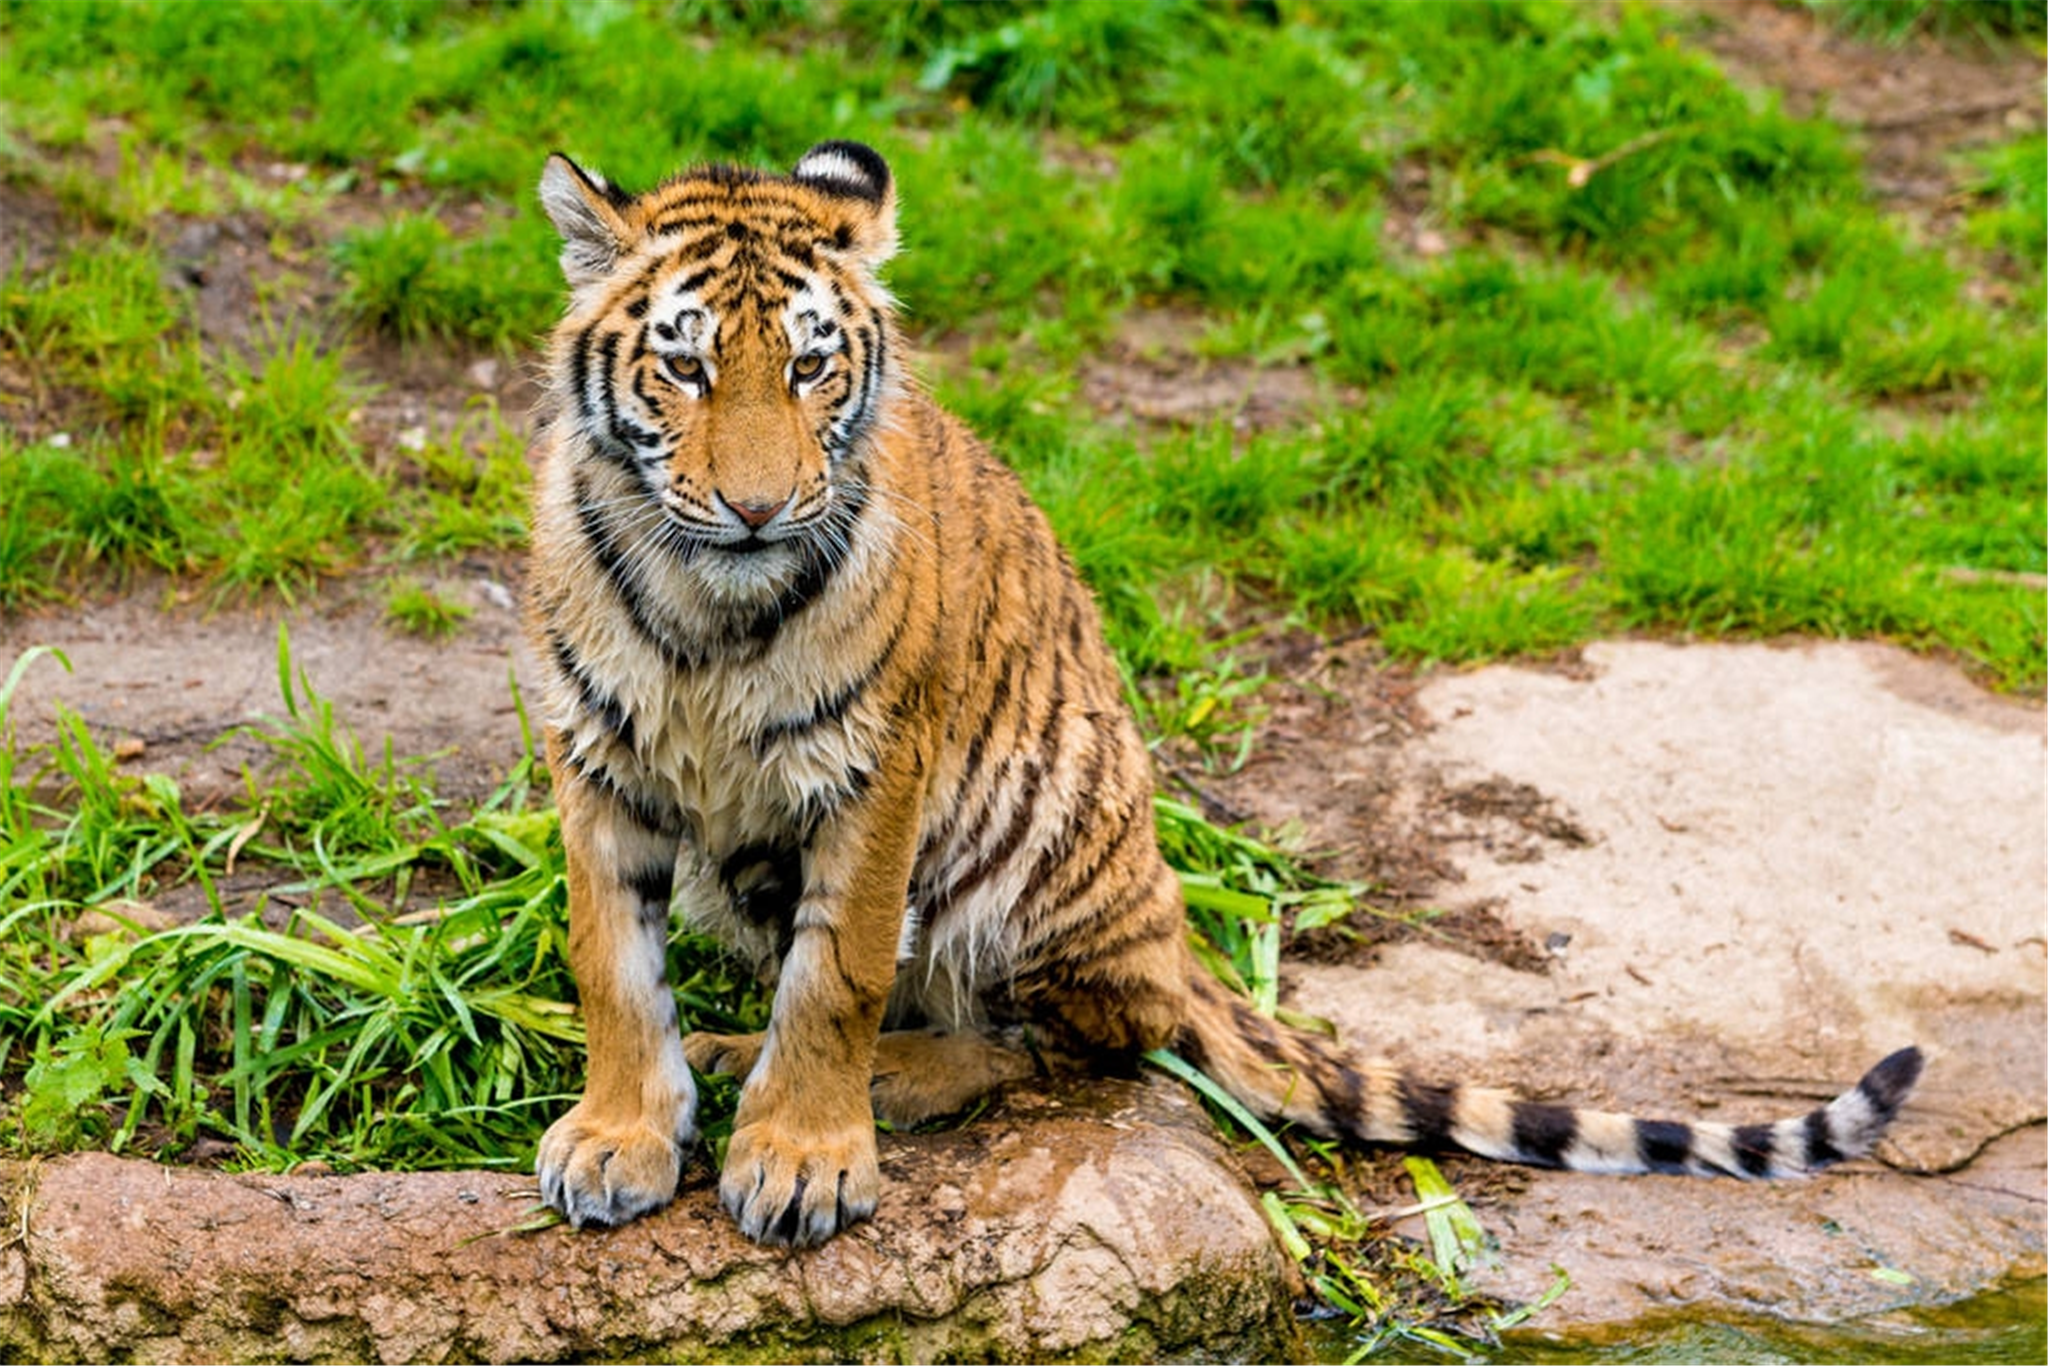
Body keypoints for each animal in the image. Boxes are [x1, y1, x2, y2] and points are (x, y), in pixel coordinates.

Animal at [524, 141, 1916, 1253]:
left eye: (812, 368)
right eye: (687, 369)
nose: (759, 507)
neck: (710, 606)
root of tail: (1177, 937)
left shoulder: (876, 776)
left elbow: (839, 978)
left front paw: (803, 1159)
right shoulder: (595, 757)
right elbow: (612, 963)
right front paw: (619, 1137)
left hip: (1039, 838)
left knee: (1056, 1041)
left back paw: (853, 1077)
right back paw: (722, 1051)